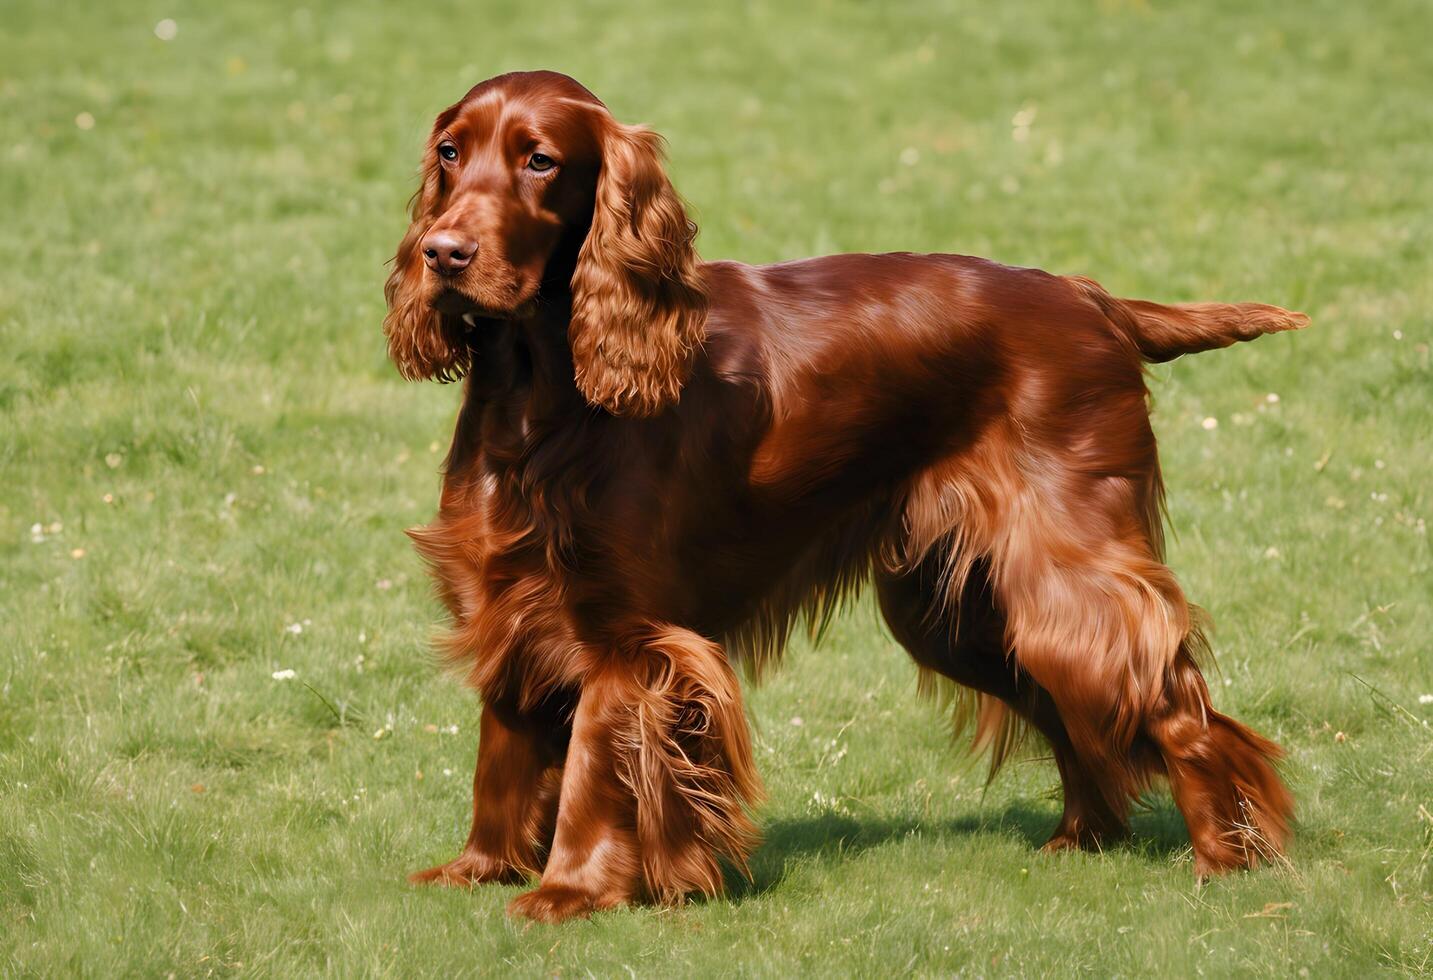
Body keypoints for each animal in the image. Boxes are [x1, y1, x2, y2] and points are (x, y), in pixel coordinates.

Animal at [386, 68, 1306, 916]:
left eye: (539, 160)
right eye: (450, 152)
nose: (443, 254)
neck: (542, 390)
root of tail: (1094, 299)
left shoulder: (626, 634)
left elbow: (590, 765)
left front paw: (566, 892)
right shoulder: (510, 601)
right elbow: (503, 754)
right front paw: (479, 869)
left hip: (1062, 581)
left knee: (1174, 706)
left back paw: (1228, 858)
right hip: (963, 611)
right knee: (1076, 709)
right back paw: (1084, 839)